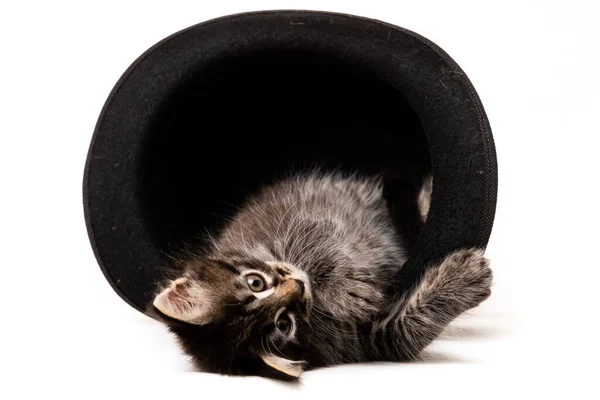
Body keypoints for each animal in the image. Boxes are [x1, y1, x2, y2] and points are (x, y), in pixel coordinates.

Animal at [150, 170, 492, 382]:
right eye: (284, 324)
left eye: (255, 282)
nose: (298, 287)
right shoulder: (370, 340)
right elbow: (407, 329)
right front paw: (466, 279)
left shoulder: (305, 224)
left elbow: (325, 249)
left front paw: (346, 290)